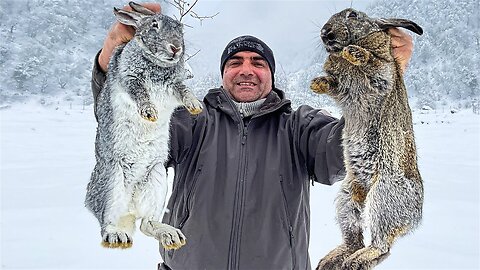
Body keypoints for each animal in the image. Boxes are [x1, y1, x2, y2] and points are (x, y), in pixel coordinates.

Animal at [85, 2, 202, 250]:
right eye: (154, 25)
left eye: (180, 29)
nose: (176, 48)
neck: (157, 63)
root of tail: (129, 211)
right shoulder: (129, 78)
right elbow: (139, 92)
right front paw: (150, 113)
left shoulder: (174, 86)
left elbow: (184, 91)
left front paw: (196, 106)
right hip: (113, 182)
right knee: (107, 222)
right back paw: (117, 237)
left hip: (156, 180)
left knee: (146, 224)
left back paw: (171, 235)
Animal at [310, 7, 422, 268]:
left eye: (352, 15)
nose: (325, 33)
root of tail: (415, 216)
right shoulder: (341, 89)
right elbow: (333, 84)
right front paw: (317, 83)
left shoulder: (382, 76)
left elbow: (374, 64)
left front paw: (353, 54)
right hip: (347, 199)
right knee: (355, 239)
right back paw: (333, 260)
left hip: (383, 197)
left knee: (382, 247)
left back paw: (356, 260)